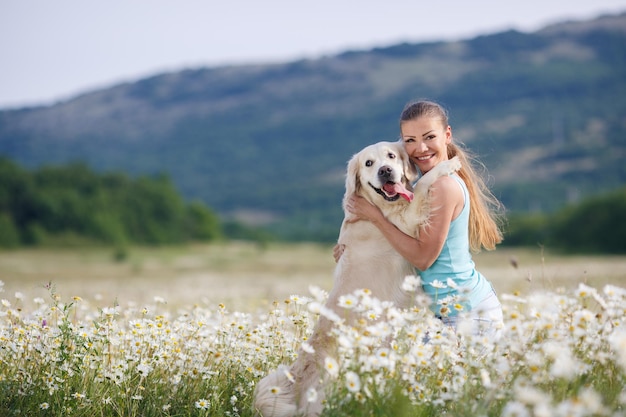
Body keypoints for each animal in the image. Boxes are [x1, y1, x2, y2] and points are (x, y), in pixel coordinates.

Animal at [251, 141, 460, 414]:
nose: (385, 170)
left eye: (391, 156)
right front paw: (448, 165)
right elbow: (423, 185)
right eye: (368, 163)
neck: (380, 208)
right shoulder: (406, 224)